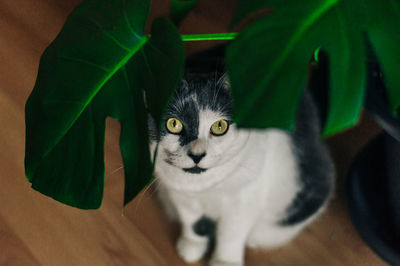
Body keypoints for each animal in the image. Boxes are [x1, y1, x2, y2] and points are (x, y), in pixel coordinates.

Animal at [148, 72, 332, 266]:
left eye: (219, 126)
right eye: (173, 124)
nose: (197, 155)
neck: (204, 187)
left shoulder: (245, 200)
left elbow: (230, 234)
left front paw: (224, 261)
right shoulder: (181, 196)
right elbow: (192, 222)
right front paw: (192, 246)